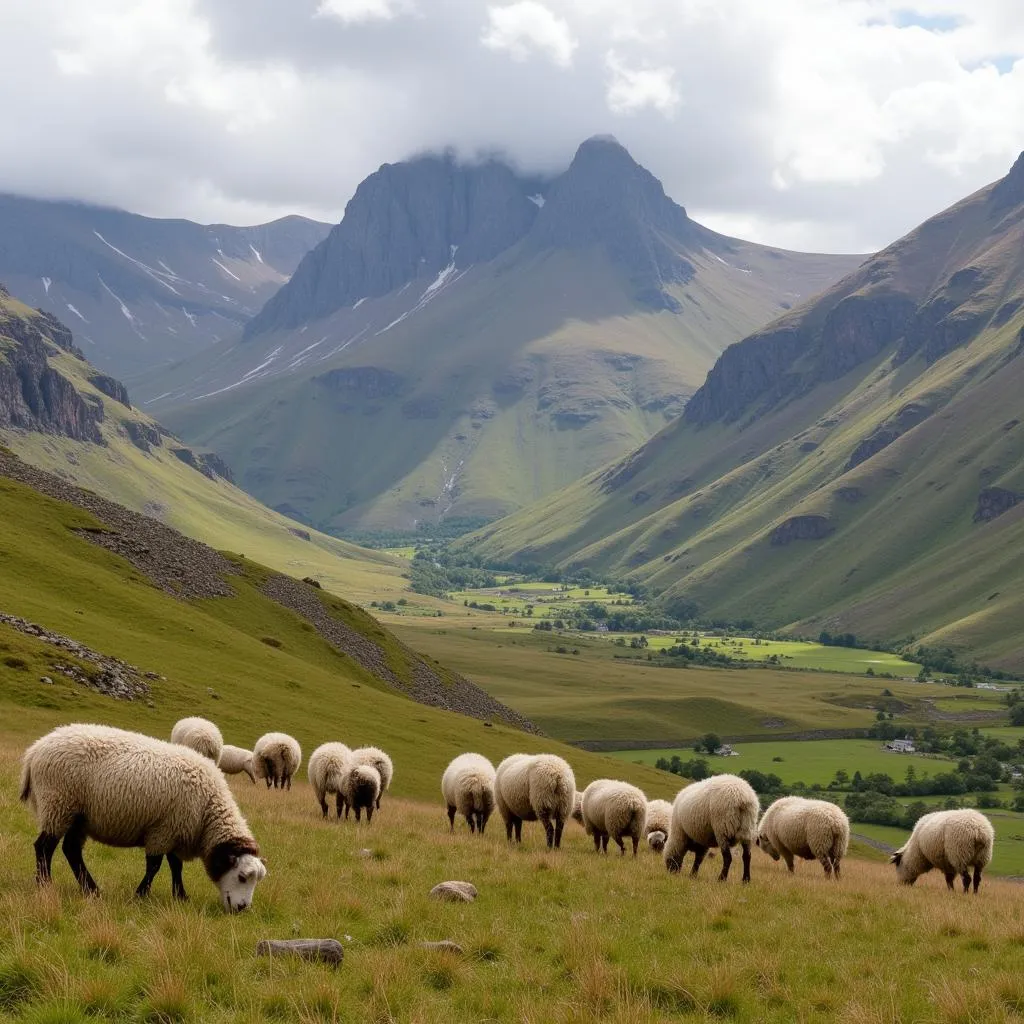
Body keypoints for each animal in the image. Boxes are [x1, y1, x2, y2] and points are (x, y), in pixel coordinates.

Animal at [19, 720, 266, 913]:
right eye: (242, 877)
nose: (242, 908)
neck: (208, 812)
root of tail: (35, 750)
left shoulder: (175, 831)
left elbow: (175, 866)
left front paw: (180, 896)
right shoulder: (164, 830)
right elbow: (155, 866)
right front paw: (141, 894)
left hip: (77, 816)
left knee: (70, 850)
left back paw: (91, 889)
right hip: (58, 805)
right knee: (44, 847)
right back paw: (45, 884)